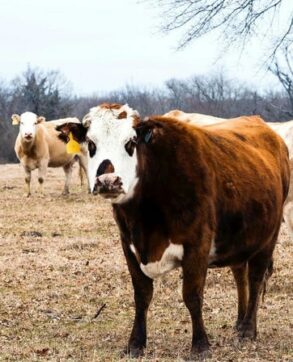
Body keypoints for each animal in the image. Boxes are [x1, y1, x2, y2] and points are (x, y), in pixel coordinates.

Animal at [56, 104, 288, 360]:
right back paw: (240, 321)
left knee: (256, 278)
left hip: (268, 237)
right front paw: (136, 343)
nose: (108, 181)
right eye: (91, 143)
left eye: (130, 142)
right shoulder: (129, 246)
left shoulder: (197, 245)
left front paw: (200, 345)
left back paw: (248, 329)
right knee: (240, 274)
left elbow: (192, 295)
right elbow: (142, 295)